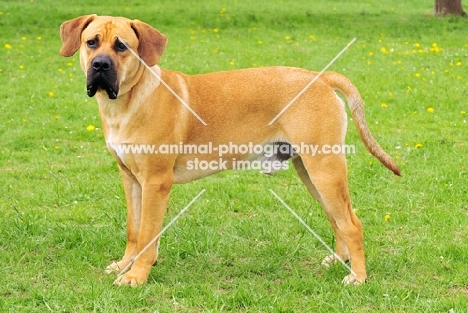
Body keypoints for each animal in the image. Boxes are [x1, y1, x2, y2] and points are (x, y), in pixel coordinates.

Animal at [60, 15, 400, 286]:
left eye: (122, 47)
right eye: (91, 43)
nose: (100, 65)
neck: (127, 102)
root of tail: (322, 78)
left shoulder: (156, 183)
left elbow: (147, 233)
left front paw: (137, 275)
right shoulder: (131, 179)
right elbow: (134, 230)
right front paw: (126, 264)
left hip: (325, 169)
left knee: (351, 223)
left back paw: (358, 276)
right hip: (311, 172)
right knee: (337, 218)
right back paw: (340, 260)